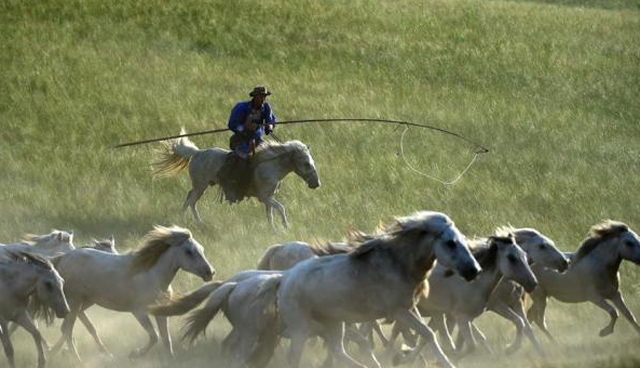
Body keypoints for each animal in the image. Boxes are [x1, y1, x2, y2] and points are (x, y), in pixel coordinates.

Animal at [50, 224, 215, 360]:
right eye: (189, 252)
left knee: (73, 326)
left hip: (85, 301)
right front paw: (135, 354)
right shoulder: (138, 311)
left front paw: (171, 360)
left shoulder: (161, 312)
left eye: (201, 249)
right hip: (74, 301)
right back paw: (77, 360)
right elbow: (154, 336)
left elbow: (166, 340)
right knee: (67, 329)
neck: (153, 275)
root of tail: (62, 258)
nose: (210, 272)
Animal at [276, 210, 480, 368]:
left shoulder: (410, 308)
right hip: (301, 328)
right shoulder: (398, 311)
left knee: (338, 351)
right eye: (451, 242)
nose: (474, 270)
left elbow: (423, 335)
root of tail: (285, 278)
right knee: (294, 357)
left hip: (333, 323)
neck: (398, 265)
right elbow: (426, 334)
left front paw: (402, 357)